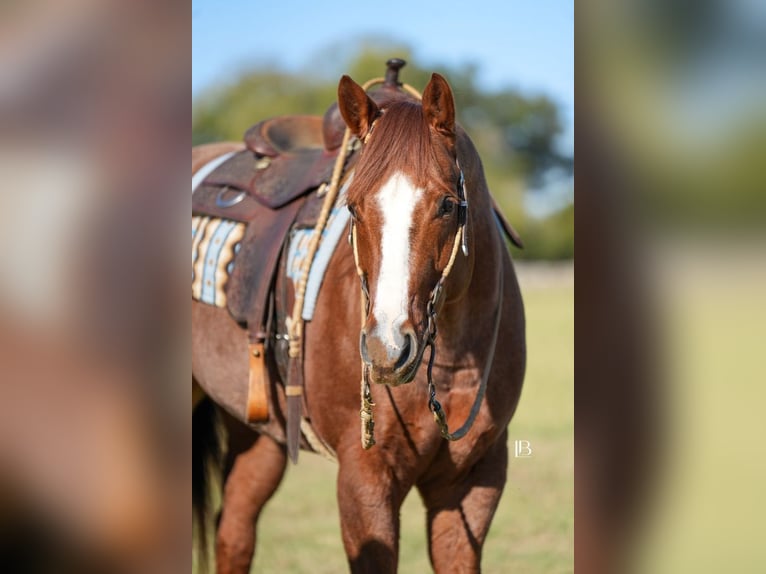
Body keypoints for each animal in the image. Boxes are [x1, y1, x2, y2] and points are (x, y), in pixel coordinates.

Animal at [192, 72, 526, 573]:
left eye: (447, 205)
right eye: (351, 206)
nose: (388, 349)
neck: (451, 359)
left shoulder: (475, 482)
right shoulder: (364, 481)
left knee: (233, 530)